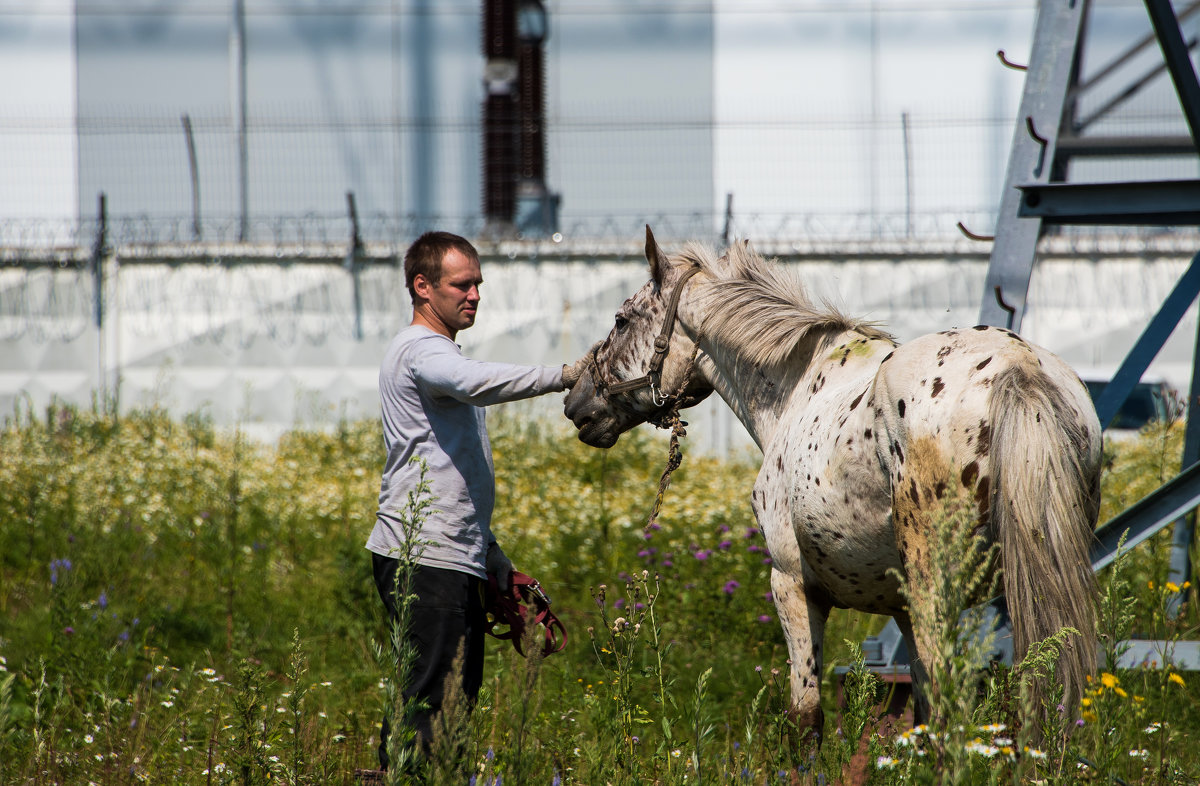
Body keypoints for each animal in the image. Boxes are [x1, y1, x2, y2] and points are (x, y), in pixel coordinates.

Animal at [566, 228, 1099, 744]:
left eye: (621, 320)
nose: (577, 404)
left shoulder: (792, 586)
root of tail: (1019, 366)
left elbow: (807, 721)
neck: (797, 388)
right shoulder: (901, 610)